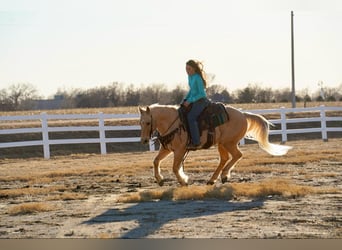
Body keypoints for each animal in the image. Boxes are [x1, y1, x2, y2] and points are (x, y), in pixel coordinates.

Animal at [139, 103, 292, 186]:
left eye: (148, 122)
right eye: (140, 122)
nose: (144, 140)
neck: (174, 123)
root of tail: (243, 114)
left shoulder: (180, 150)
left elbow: (176, 168)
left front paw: (183, 181)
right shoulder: (167, 149)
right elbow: (156, 161)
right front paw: (160, 180)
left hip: (229, 143)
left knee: (237, 155)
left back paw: (224, 175)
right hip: (222, 144)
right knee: (225, 158)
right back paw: (213, 179)